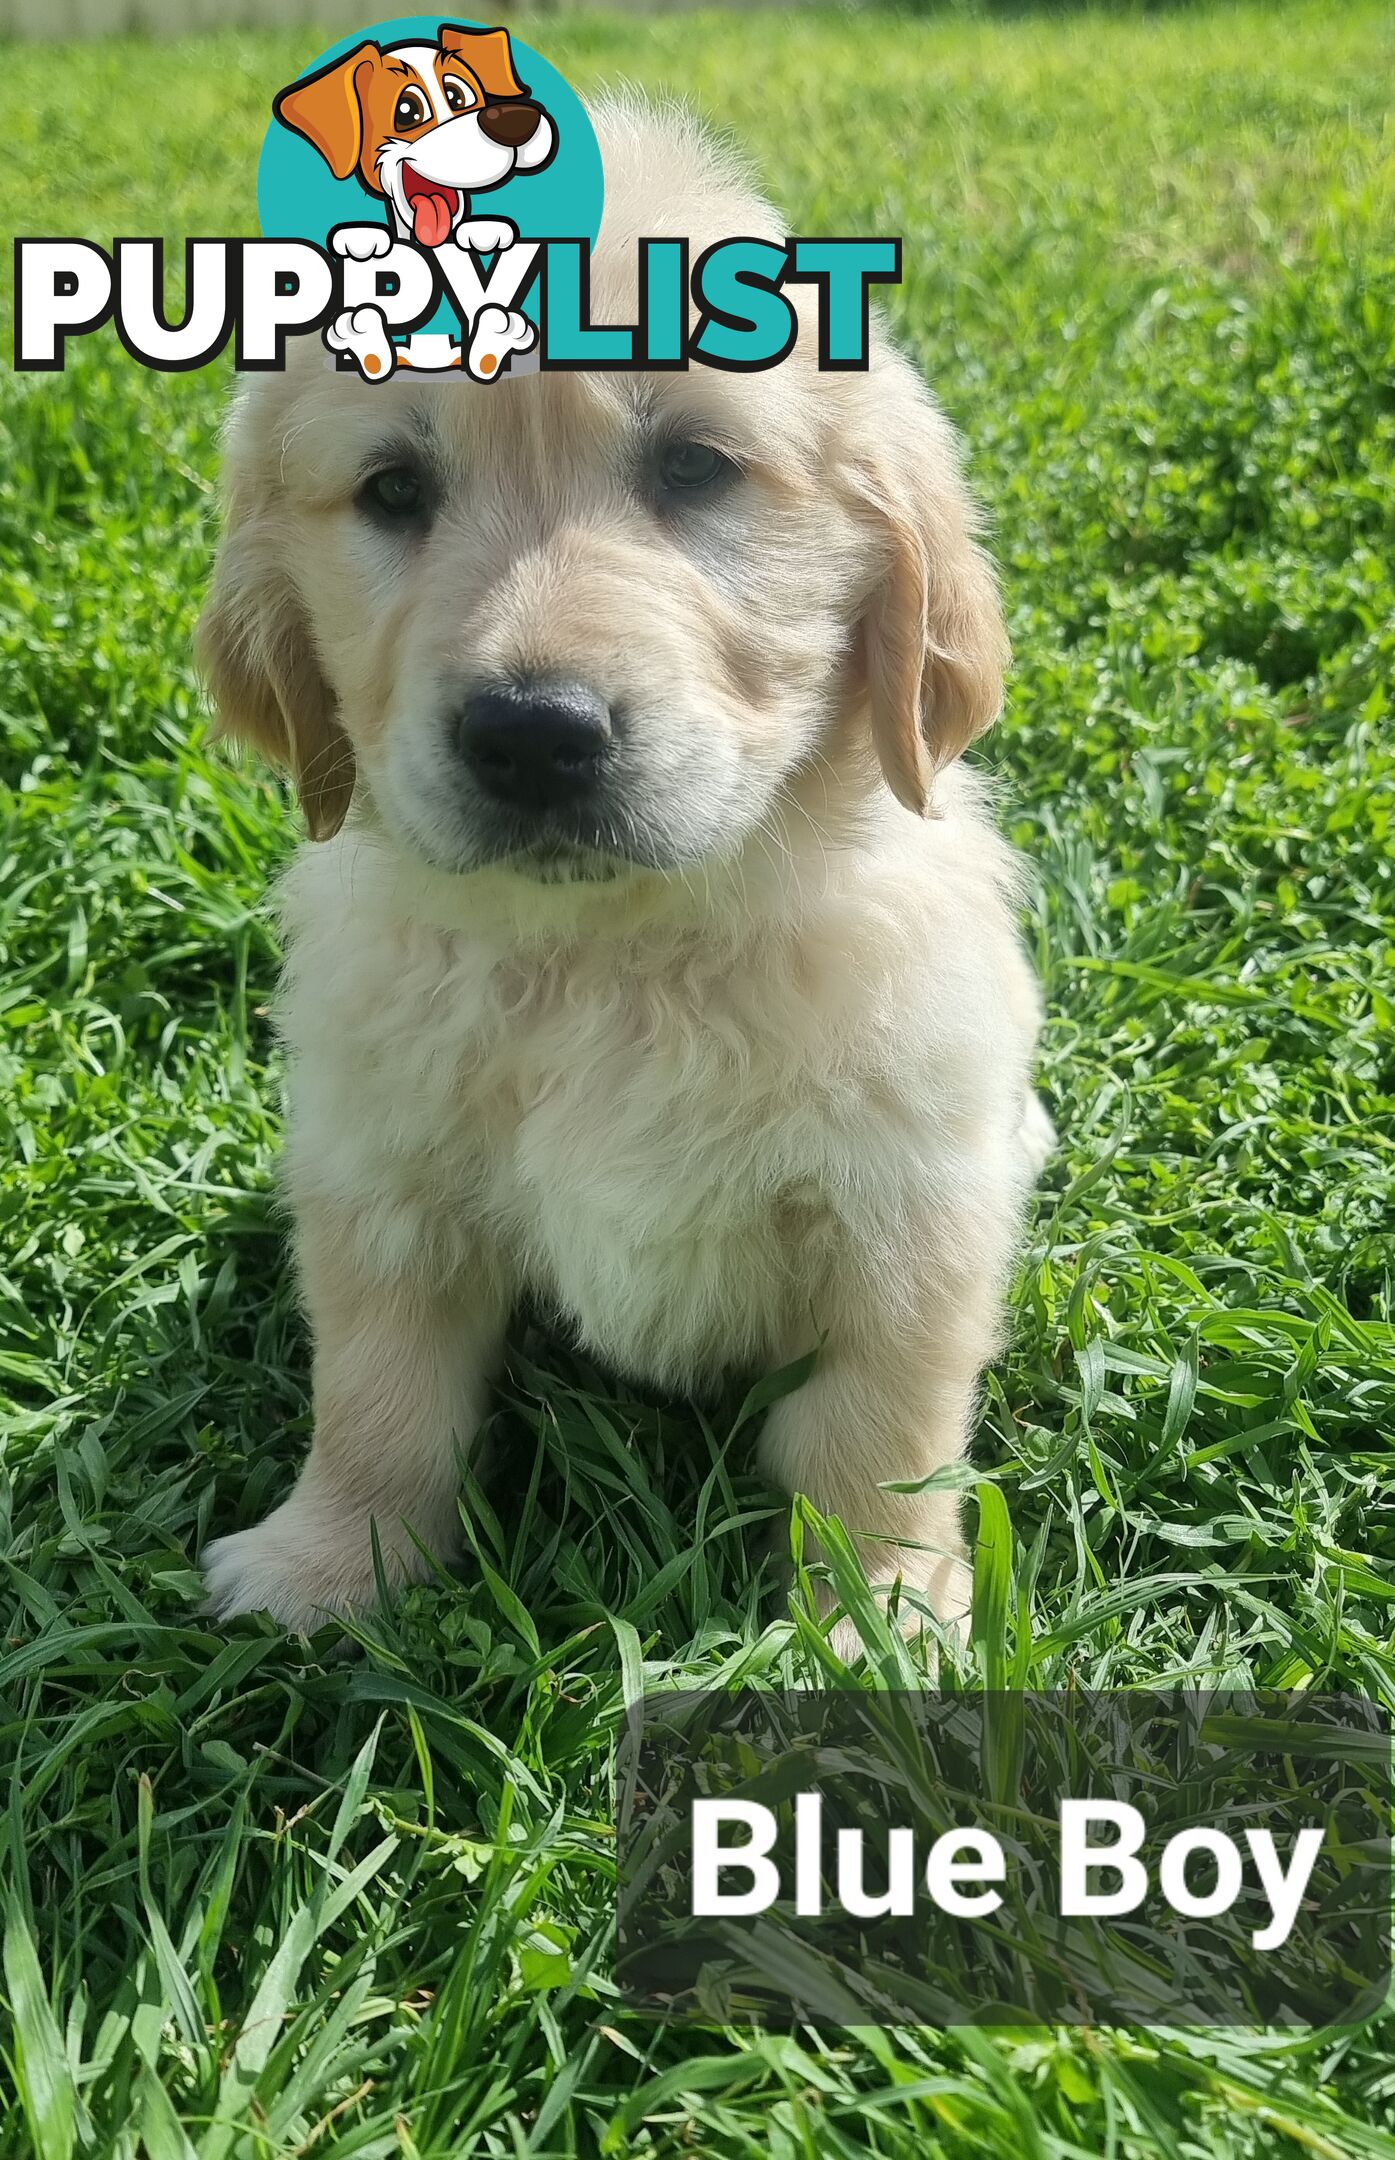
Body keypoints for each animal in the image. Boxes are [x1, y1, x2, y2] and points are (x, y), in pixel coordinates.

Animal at [194, 101, 1049, 1641]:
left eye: (695, 467)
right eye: (394, 489)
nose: (533, 736)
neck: (615, 952)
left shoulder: (907, 1214)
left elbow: (878, 1431)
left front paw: (880, 1615)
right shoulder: (381, 1178)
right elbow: (376, 1394)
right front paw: (330, 1562)